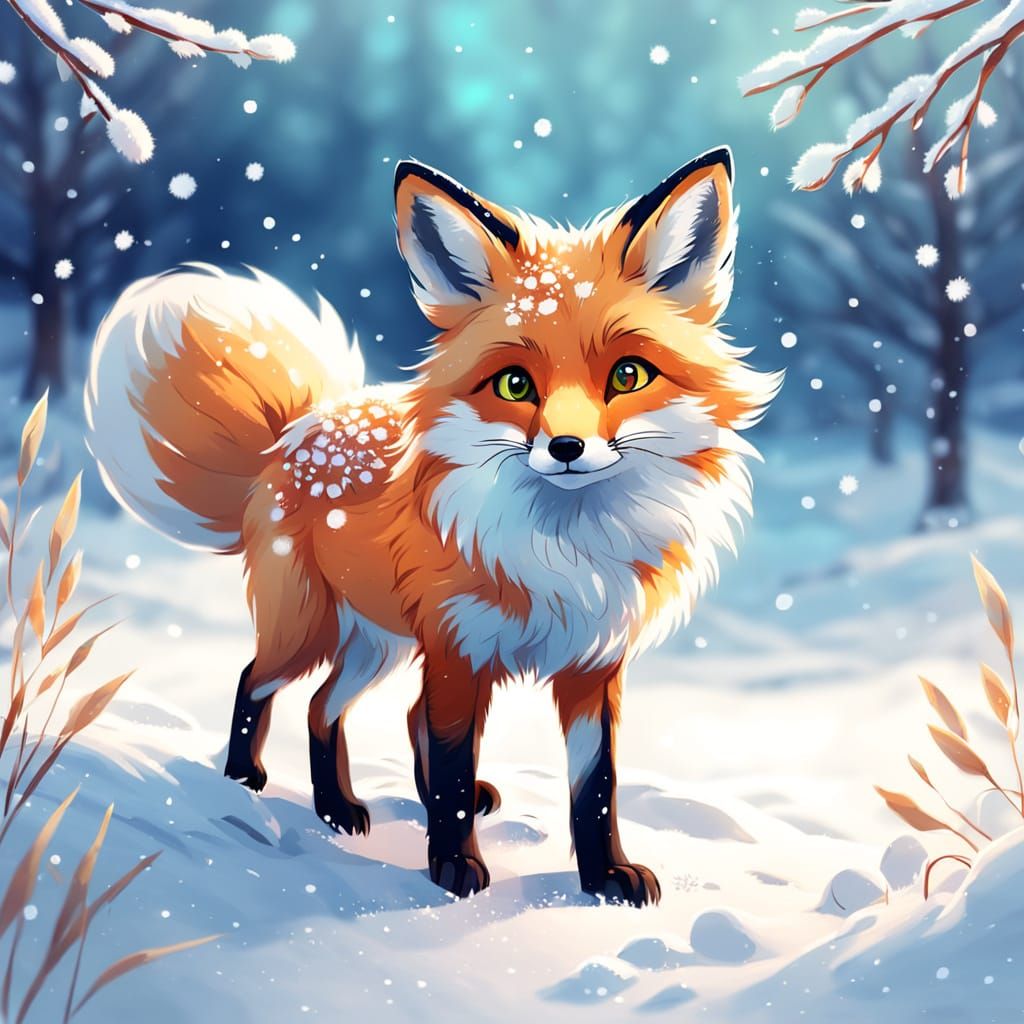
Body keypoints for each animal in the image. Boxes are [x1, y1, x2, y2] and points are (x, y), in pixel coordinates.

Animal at [85, 147, 779, 906]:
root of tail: (292, 435)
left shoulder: (592, 664)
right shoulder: (458, 652)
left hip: (377, 644)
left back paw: (338, 806)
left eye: (628, 375)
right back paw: (246, 782)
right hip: (311, 629)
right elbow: (448, 767)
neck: (562, 549)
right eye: (513, 385)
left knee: (329, 708)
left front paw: (604, 877)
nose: (567, 448)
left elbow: (594, 787)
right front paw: (452, 869)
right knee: (256, 681)